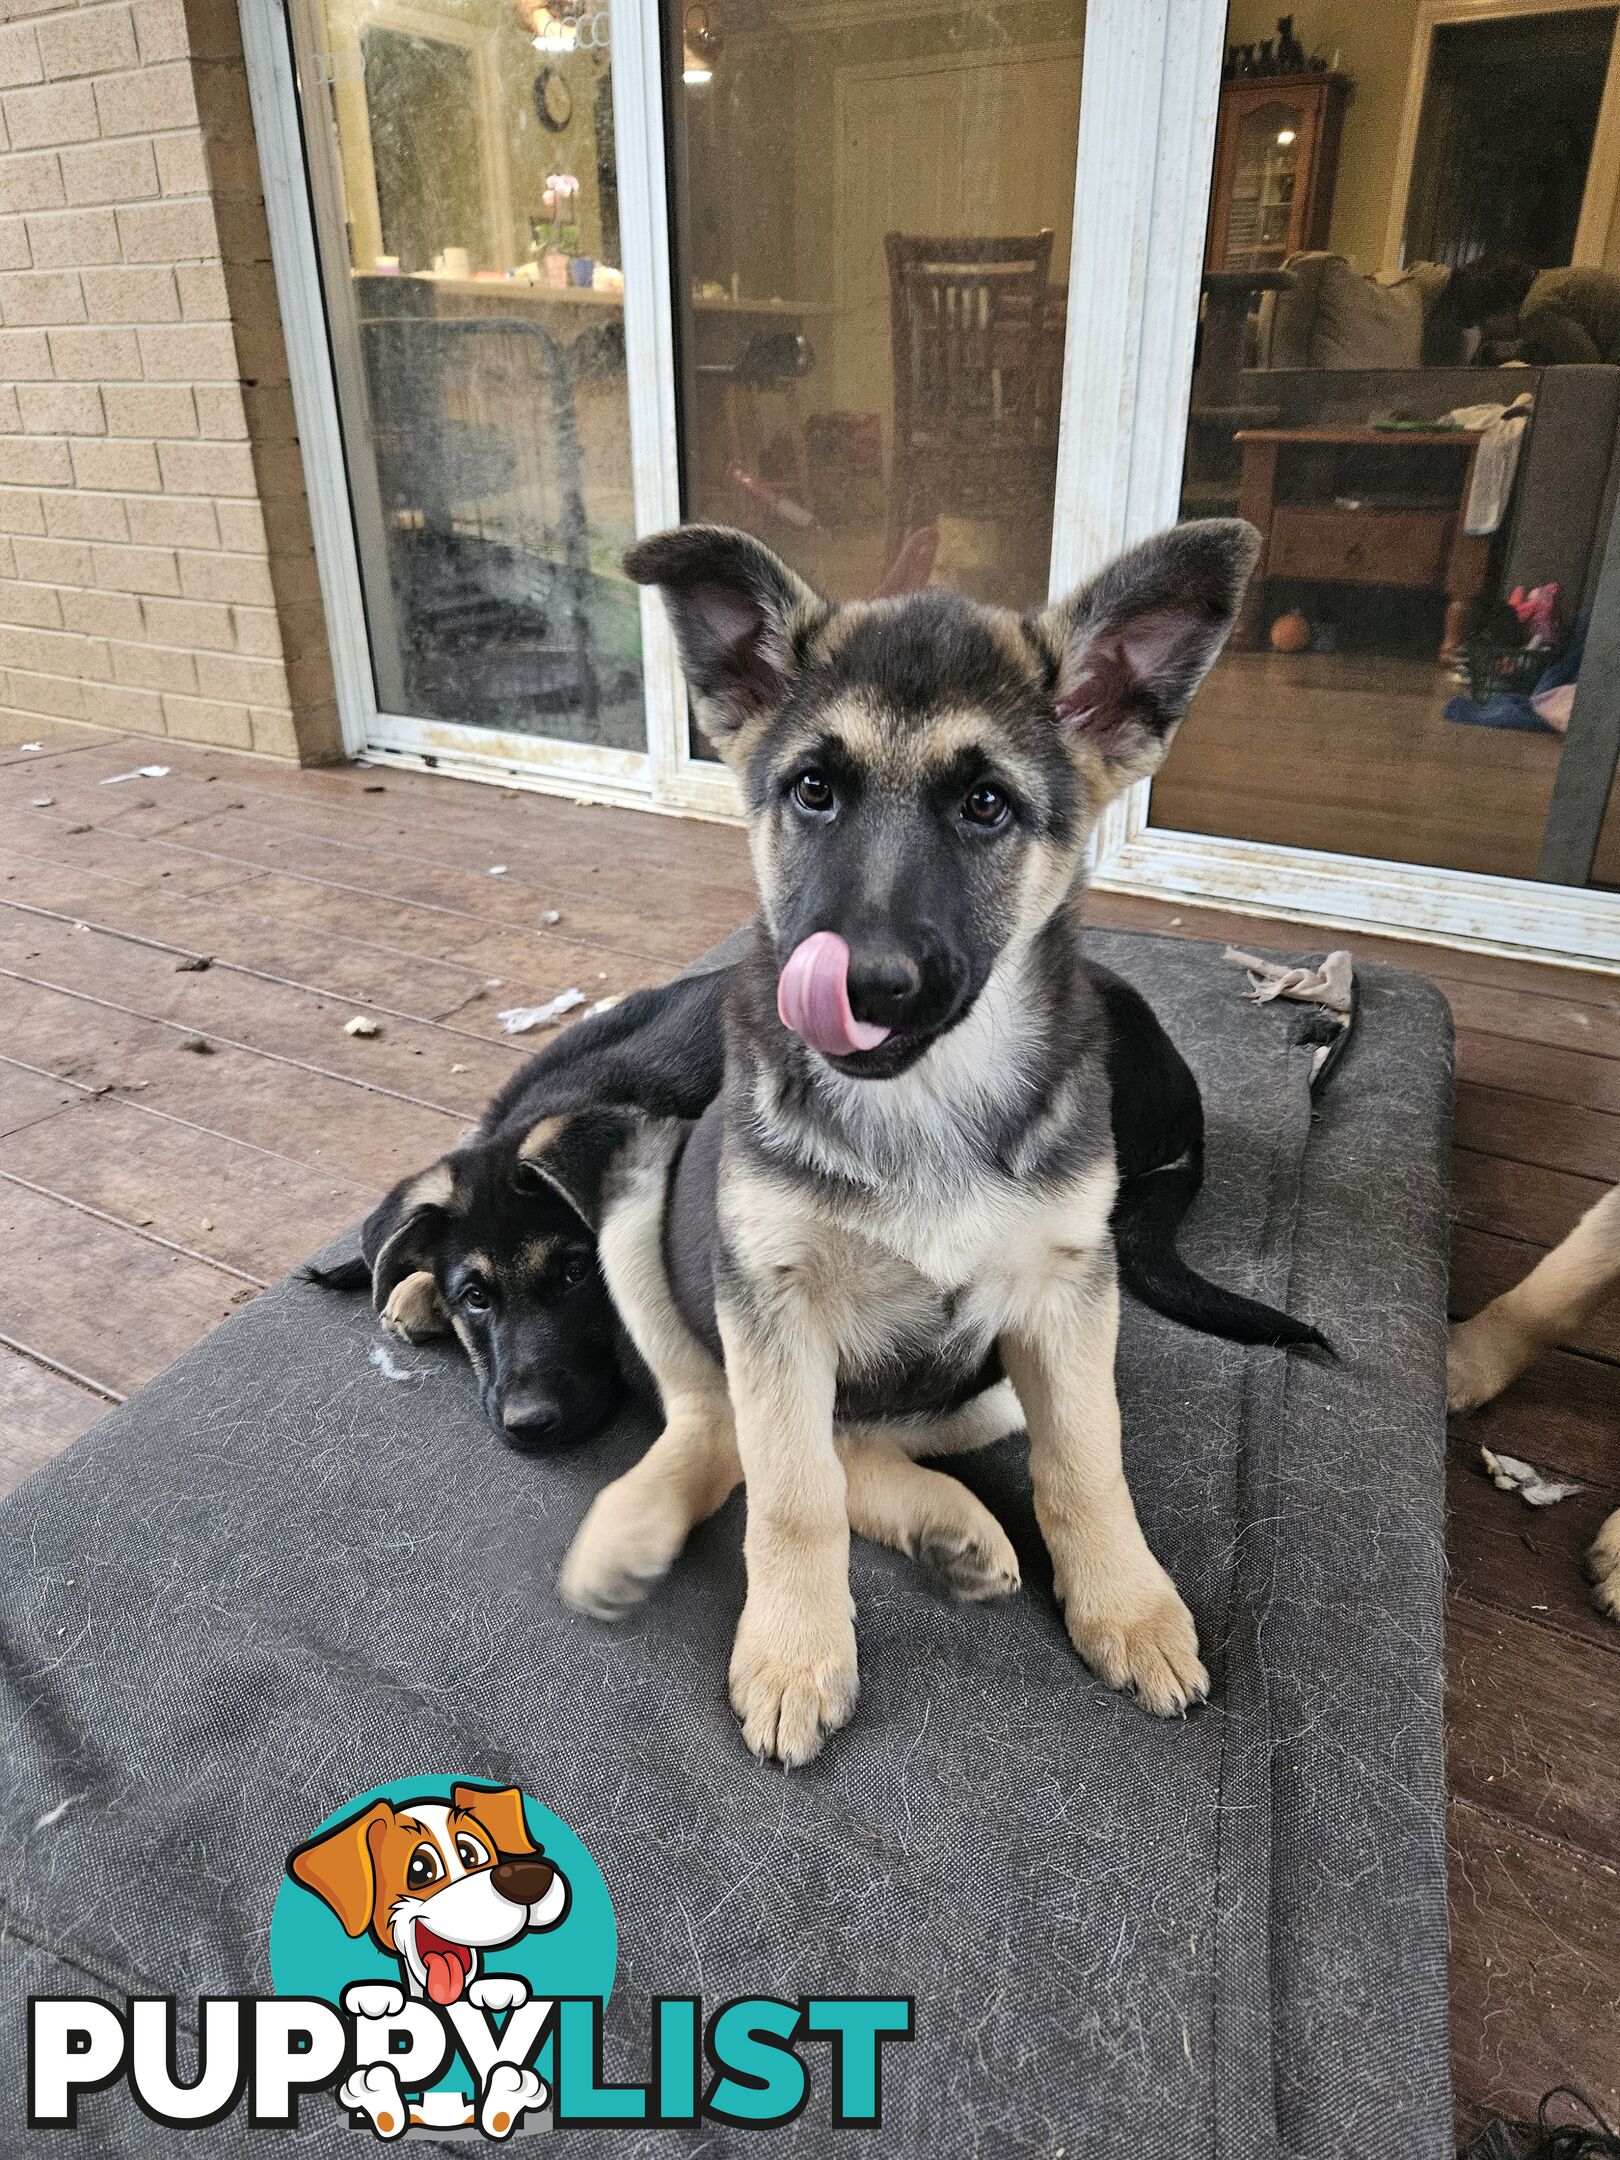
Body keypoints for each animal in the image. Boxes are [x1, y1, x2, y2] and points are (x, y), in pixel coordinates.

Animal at [557, 514, 1321, 1762]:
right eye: (814, 790)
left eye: (987, 807)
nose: (866, 985)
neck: (923, 1103)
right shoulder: (766, 1296)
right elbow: (791, 1491)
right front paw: (795, 1650)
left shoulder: (1070, 1297)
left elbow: (1085, 1464)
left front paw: (1127, 1607)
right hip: (644, 1195)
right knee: (723, 1421)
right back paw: (636, 1528)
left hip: (998, 1371)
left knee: (858, 1442)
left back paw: (950, 1527)